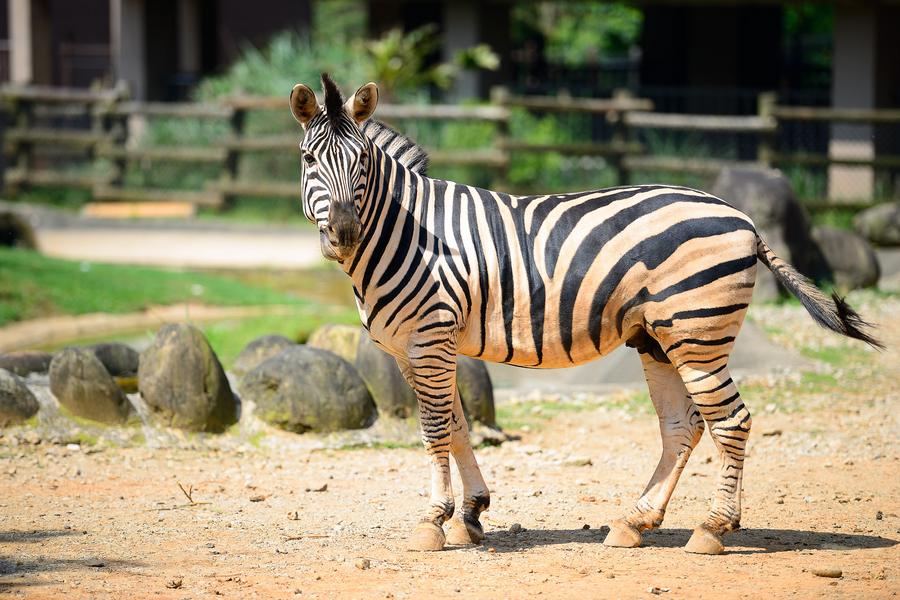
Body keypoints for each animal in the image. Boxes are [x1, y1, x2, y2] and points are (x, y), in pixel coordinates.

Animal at [290, 74, 880, 552]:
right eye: (308, 160)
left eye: (362, 163)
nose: (342, 234)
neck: (406, 232)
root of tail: (745, 219)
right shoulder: (419, 348)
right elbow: (457, 426)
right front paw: (472, 514)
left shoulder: (430, 338)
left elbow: (436, 430)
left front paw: (433, 521)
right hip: (657, 337)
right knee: (682, 426)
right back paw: (635, 523)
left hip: (696, 335)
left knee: (730, 421)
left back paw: (713, 528)